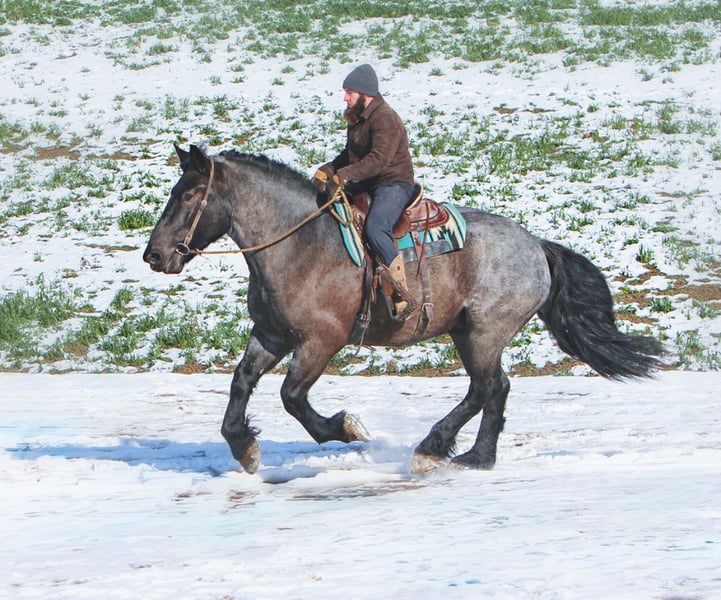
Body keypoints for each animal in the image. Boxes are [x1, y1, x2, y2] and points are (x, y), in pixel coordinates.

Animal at [143, 144, 666, 474]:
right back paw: (477, 457)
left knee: (485, 388)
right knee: (496, 390)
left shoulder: (321, 340)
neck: (299, 245)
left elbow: (292, 396)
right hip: (468, 333)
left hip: (483, 332)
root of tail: (536, 246)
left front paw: (345, 429)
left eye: (188, 194)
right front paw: (243, 446)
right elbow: (241, 382)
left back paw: (434, 448)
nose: (154, 255)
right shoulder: (271, 333)